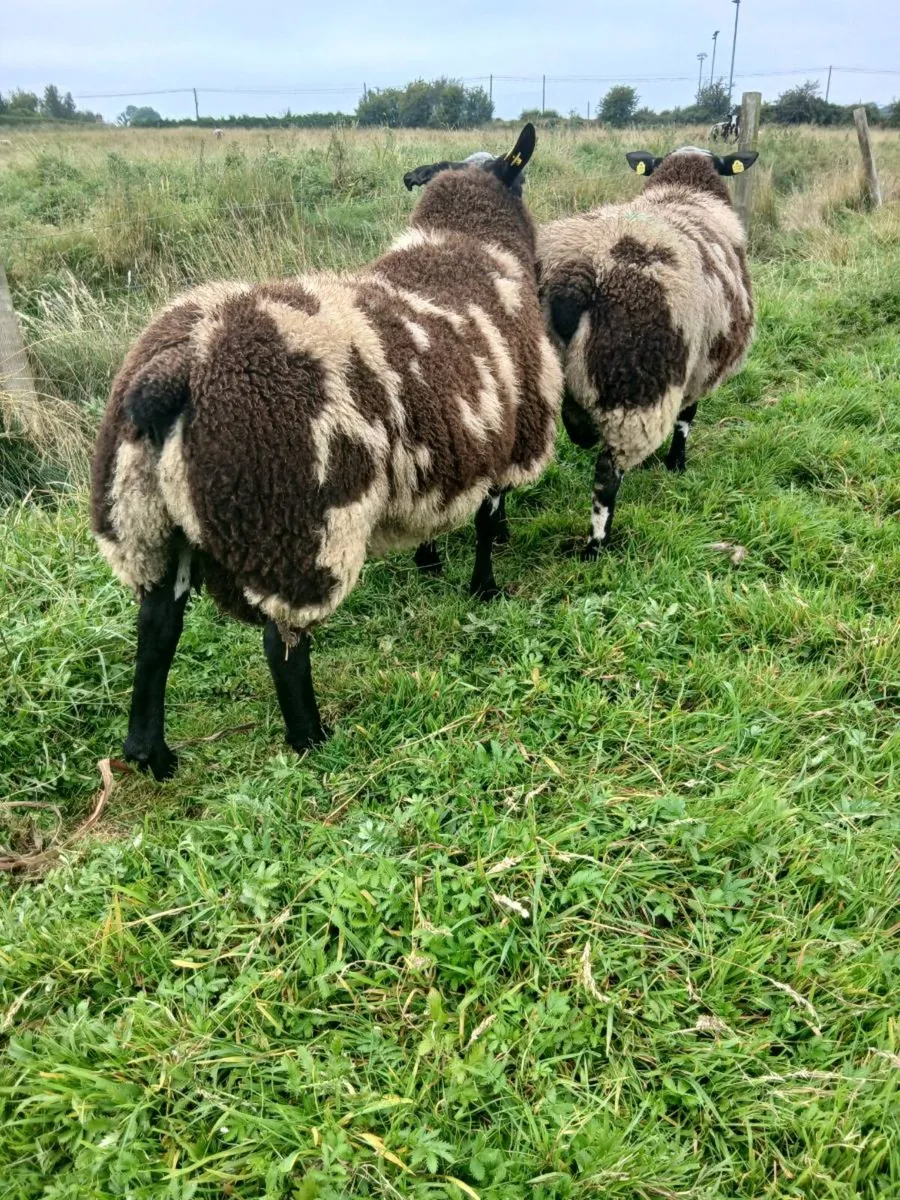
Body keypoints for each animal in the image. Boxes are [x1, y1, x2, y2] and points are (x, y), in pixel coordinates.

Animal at [91, 124, 563, 779]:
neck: (470, 245)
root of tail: (174, 370)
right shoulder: (507, 435)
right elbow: (488, 521)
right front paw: (485, 589)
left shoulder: (445, 447)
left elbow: (446, 515)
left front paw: (430, 561)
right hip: (295, 528)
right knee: (281, 642)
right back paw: (312, 739)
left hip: (146, 522)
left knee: (157, 627)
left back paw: (153, 754)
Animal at [538, 146, 758, 557]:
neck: (684, 191)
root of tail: (574, 272)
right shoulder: (698, 366)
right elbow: (686, 419)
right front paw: (676, 464)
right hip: (634, 389)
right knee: (606, 476)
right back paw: (596, 547)